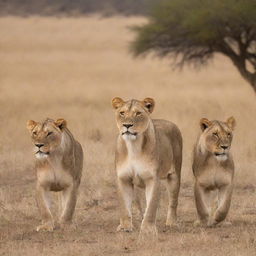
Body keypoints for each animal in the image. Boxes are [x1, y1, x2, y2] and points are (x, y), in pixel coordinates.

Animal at [111, 97, 182, 237]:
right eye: (122, 113)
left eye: (138, 113)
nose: (127, 125)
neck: (133, 146)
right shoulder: (123, 178)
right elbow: (124, 206)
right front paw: (125, 227)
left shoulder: (153, 179)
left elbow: (152, 206)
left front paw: (148, 229)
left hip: (175, 174)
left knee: (173, 201)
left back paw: (171, 222)